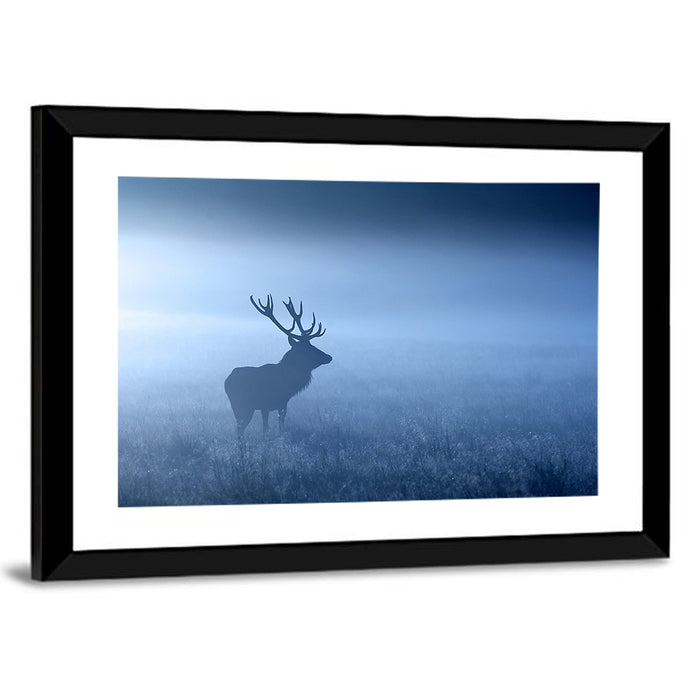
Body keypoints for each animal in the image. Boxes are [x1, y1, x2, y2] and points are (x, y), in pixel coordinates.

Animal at [225, 295, 332, 441]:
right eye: (307, 349)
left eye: (312, 345)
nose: (329, 357)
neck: (288, 383)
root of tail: (227, 381)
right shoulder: (266, 404)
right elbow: (267, 429)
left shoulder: (282, 404)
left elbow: (279, 426)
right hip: (242, 405)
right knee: (240, 430)